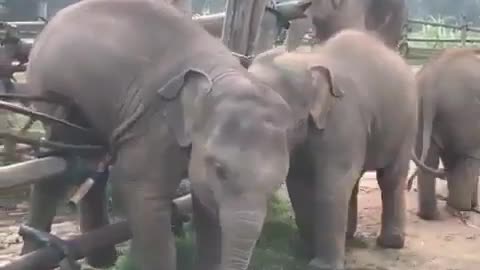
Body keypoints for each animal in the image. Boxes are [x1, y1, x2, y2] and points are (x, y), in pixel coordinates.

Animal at [20, 0, 290, 270]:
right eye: (221, 171)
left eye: (277, 183)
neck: (219, 75)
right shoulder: (155, 127)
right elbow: (143, 195)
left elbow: (207, 208)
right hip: (52, 90)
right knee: (56, 159)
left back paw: (102, 261)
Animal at [412, 49, 480, 221]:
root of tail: (431, 83)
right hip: (465, 113)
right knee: (469, 158)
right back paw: (463, 209)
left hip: (422, 112)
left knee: (430, 158)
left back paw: (431, 215)